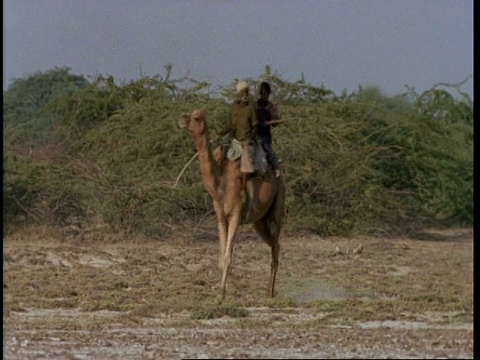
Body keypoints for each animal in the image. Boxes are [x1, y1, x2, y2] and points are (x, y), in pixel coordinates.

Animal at [179, 109, 284, 298]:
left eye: (197, 117)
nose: (181, 118)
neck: (220, 182)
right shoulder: (220, 215)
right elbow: (221, 257)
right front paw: (218, 288)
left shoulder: (236, 212)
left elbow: (228, 257)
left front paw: (221, 292)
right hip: (259, 221)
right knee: (274, 244)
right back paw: (268, 290)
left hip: (279, 202)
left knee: (276, 243)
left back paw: (270, 292)